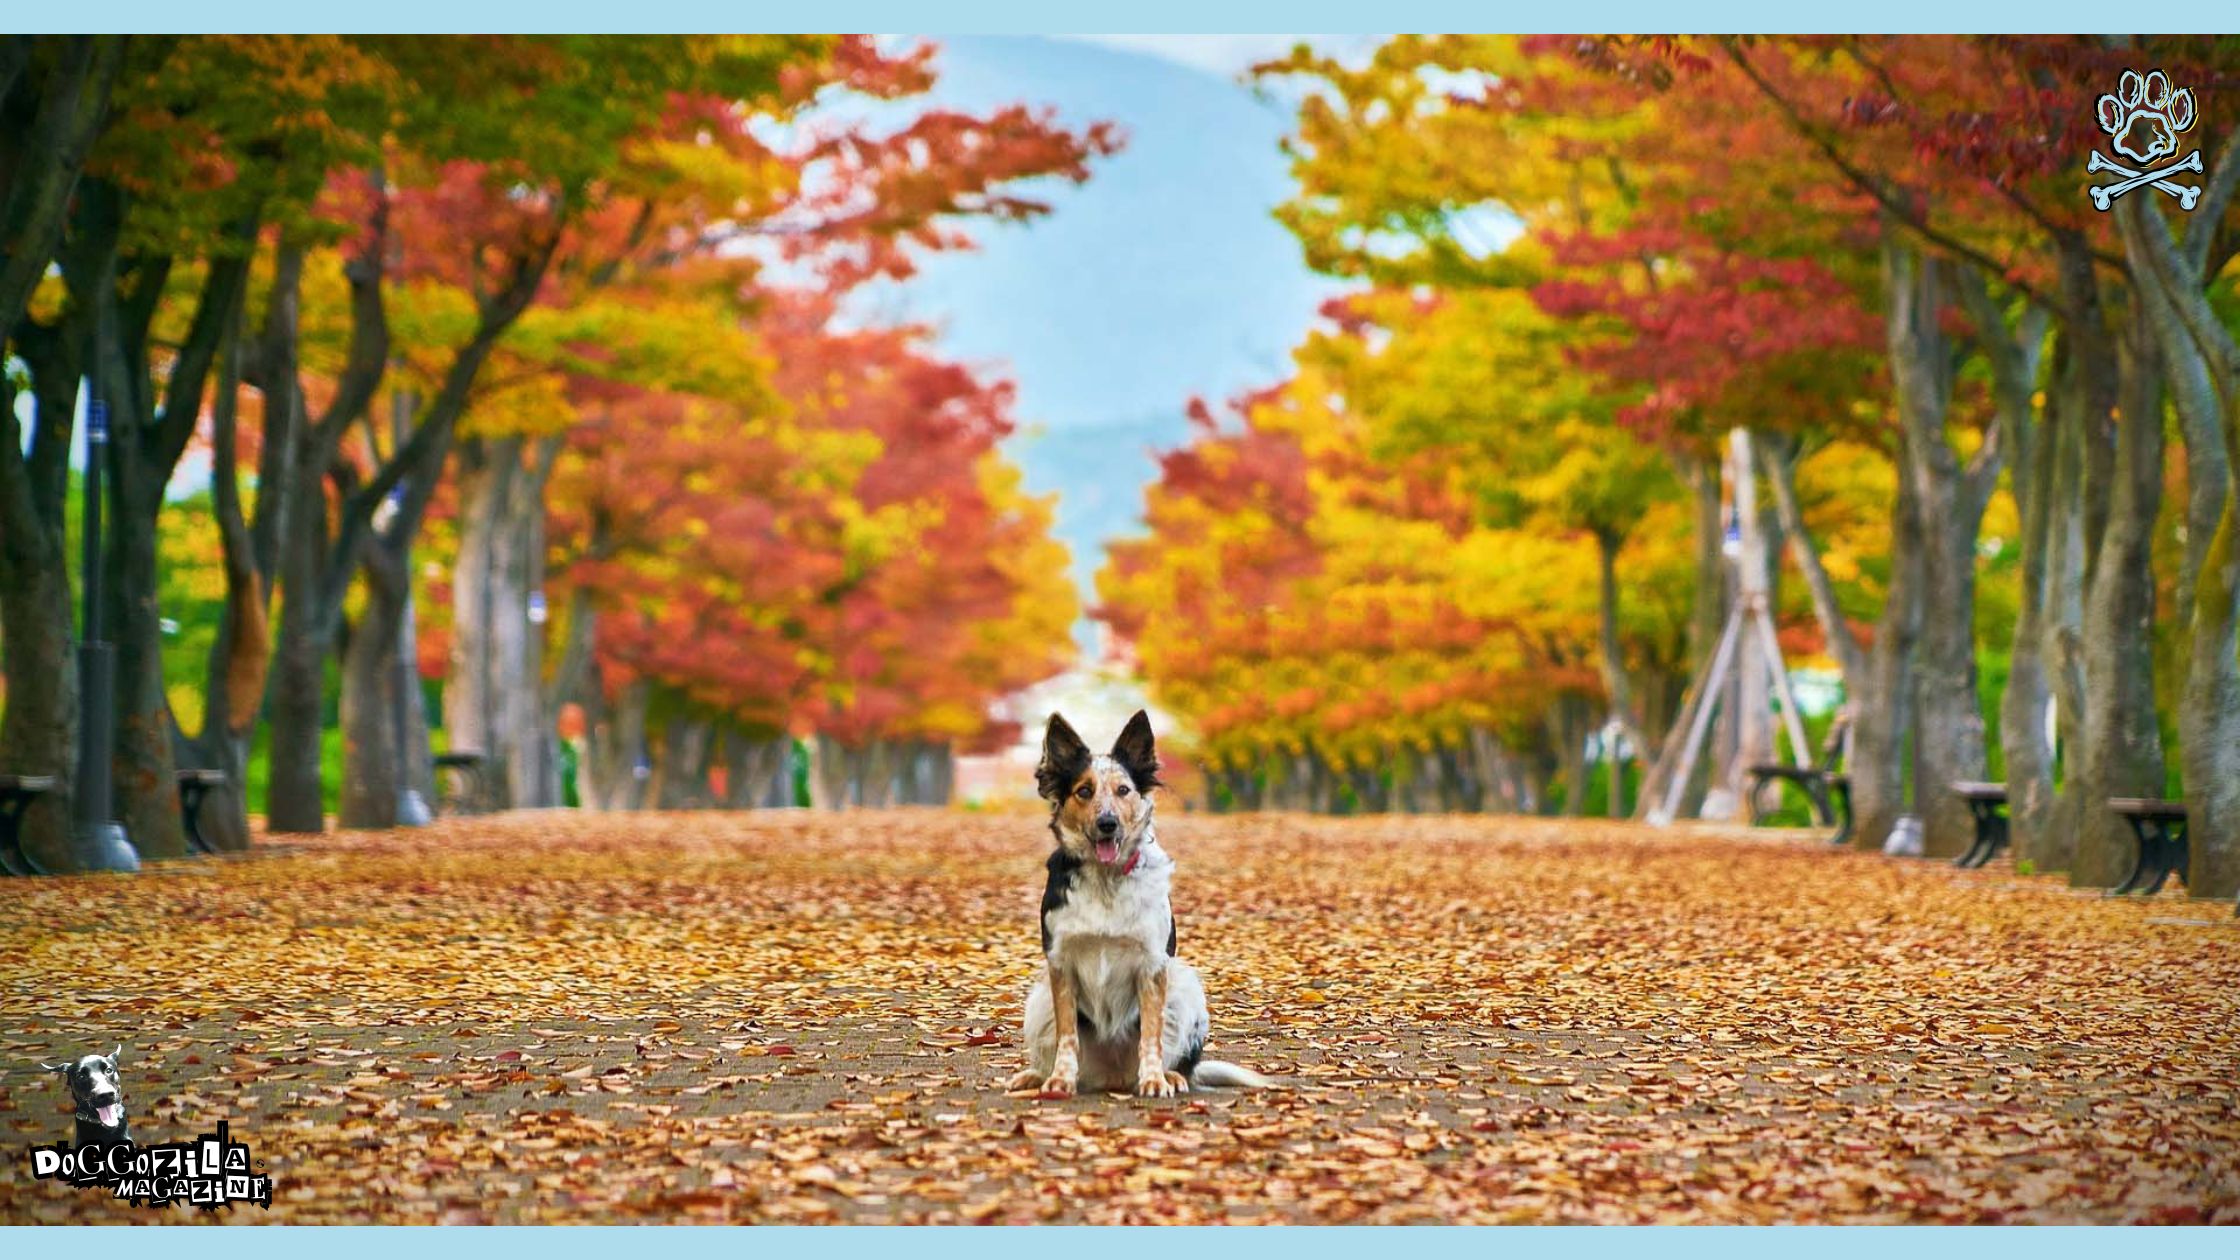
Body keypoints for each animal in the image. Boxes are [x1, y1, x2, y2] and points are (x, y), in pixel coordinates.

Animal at [1008, 712, 1272, 1094]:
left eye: (1123, 791)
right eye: (1084, 791)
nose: (1107, 823)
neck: (1106, 879)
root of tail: (1112, 1077)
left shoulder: (1152, 966)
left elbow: (1151, 1035)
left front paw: (1154, 1080)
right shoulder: (1061, 965)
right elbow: (1067, 1037)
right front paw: (1060, 1079)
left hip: (1184, 986)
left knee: (1177, 1057)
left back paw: (1172, 1075)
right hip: (1039, 998)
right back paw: (1035, 1075)